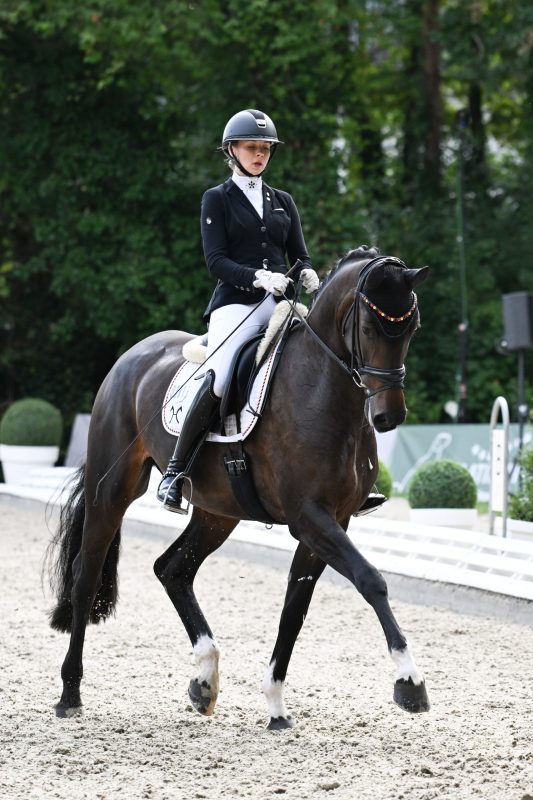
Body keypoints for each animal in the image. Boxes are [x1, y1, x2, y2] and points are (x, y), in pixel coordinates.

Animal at [48, 245, 430, 729]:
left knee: (172, 569)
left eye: (411, 328)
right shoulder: (309, 517)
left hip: (217, 512)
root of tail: (132, 356)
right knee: (86, 574)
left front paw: (276, 706)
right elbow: (371, 580)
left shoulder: (332, 521)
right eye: (366, 328)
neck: (323, 392)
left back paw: (204, 680)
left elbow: (294, 610)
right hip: (112, 491)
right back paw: (69, 693)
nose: (388, 417)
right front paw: (410, 682)